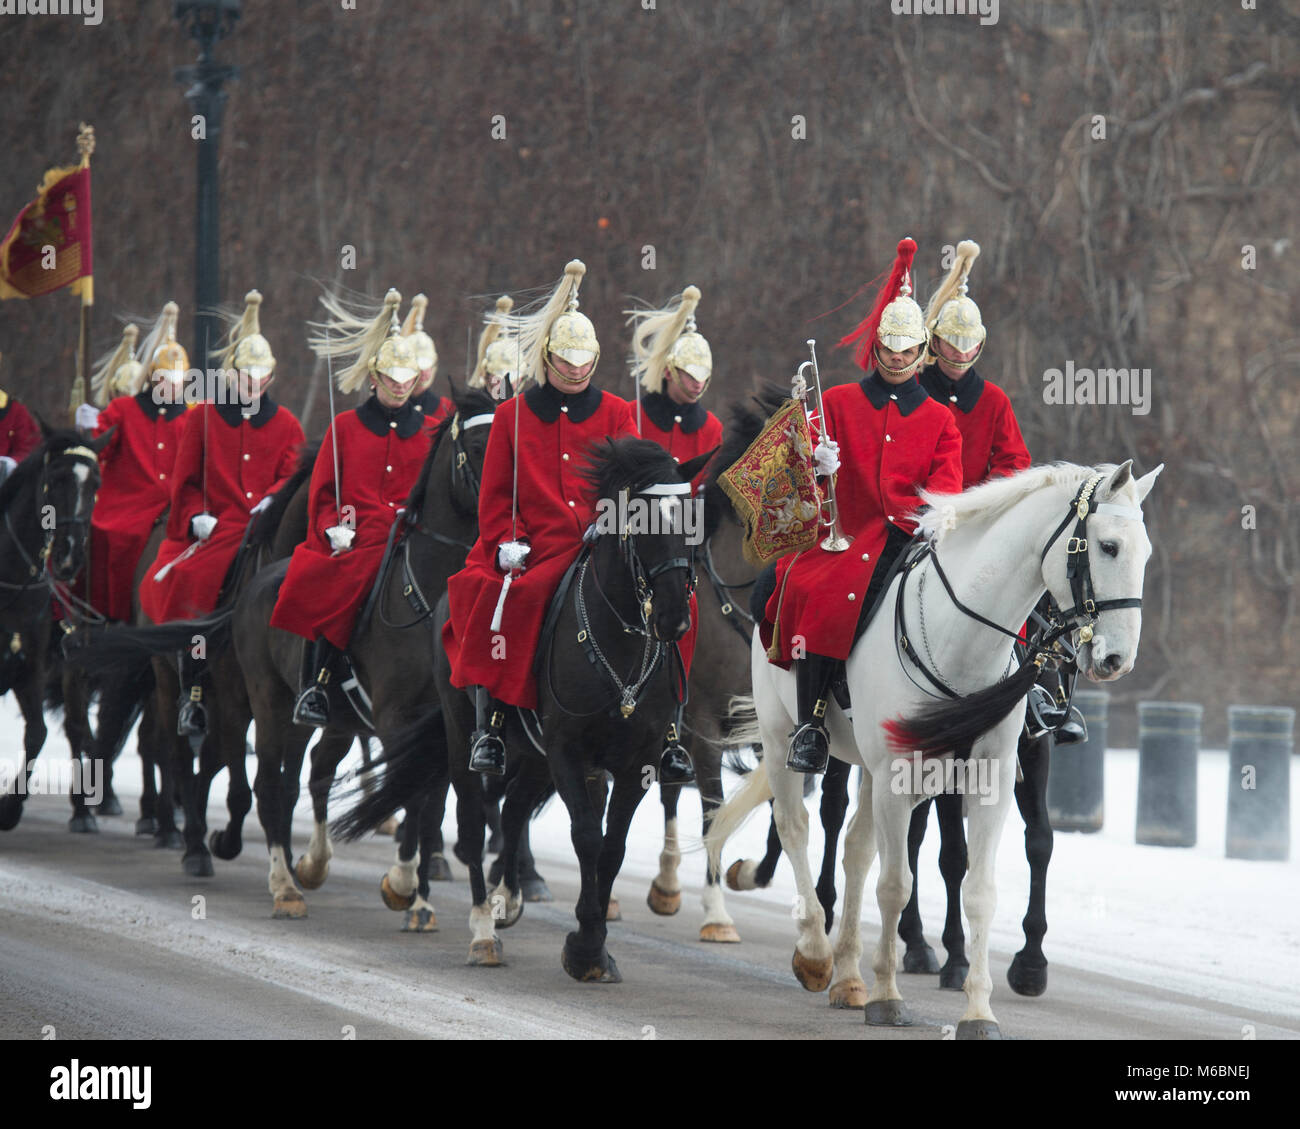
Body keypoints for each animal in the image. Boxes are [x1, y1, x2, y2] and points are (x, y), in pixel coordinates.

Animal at [0, 426, 110, 832]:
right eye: (56, 478)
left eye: (96, 483)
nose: (69, 556)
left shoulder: (29, 669)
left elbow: (38, 734)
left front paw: (10, 807)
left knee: (76, 727)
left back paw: (83, 810)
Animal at [338, 437, 712, 983]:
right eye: (638, 521)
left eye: (691, 518)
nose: (674, 619)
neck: (620, 641)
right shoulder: (569, 751)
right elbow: (587, 838)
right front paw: (585, 945)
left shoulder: (636, 762)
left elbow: (613, 847)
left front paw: (595, 943)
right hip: (468, 741)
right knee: (471, 821)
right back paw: (480, 930)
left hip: (535, 757)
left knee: (513, 809)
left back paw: (508, 897)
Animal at [707, 460, 1164, 1040]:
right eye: (1107, 547)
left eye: (1144, 553)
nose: (1115, 658)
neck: (961, 641)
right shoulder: (901, 779)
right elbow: (897, 883)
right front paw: (888, 996)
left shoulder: (988, 782)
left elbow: (977, 889)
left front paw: (978, 1010)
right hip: (780, 734)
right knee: (797, 826)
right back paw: (815, 952)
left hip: (873, 770)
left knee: (856, 848)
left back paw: (849, 977)